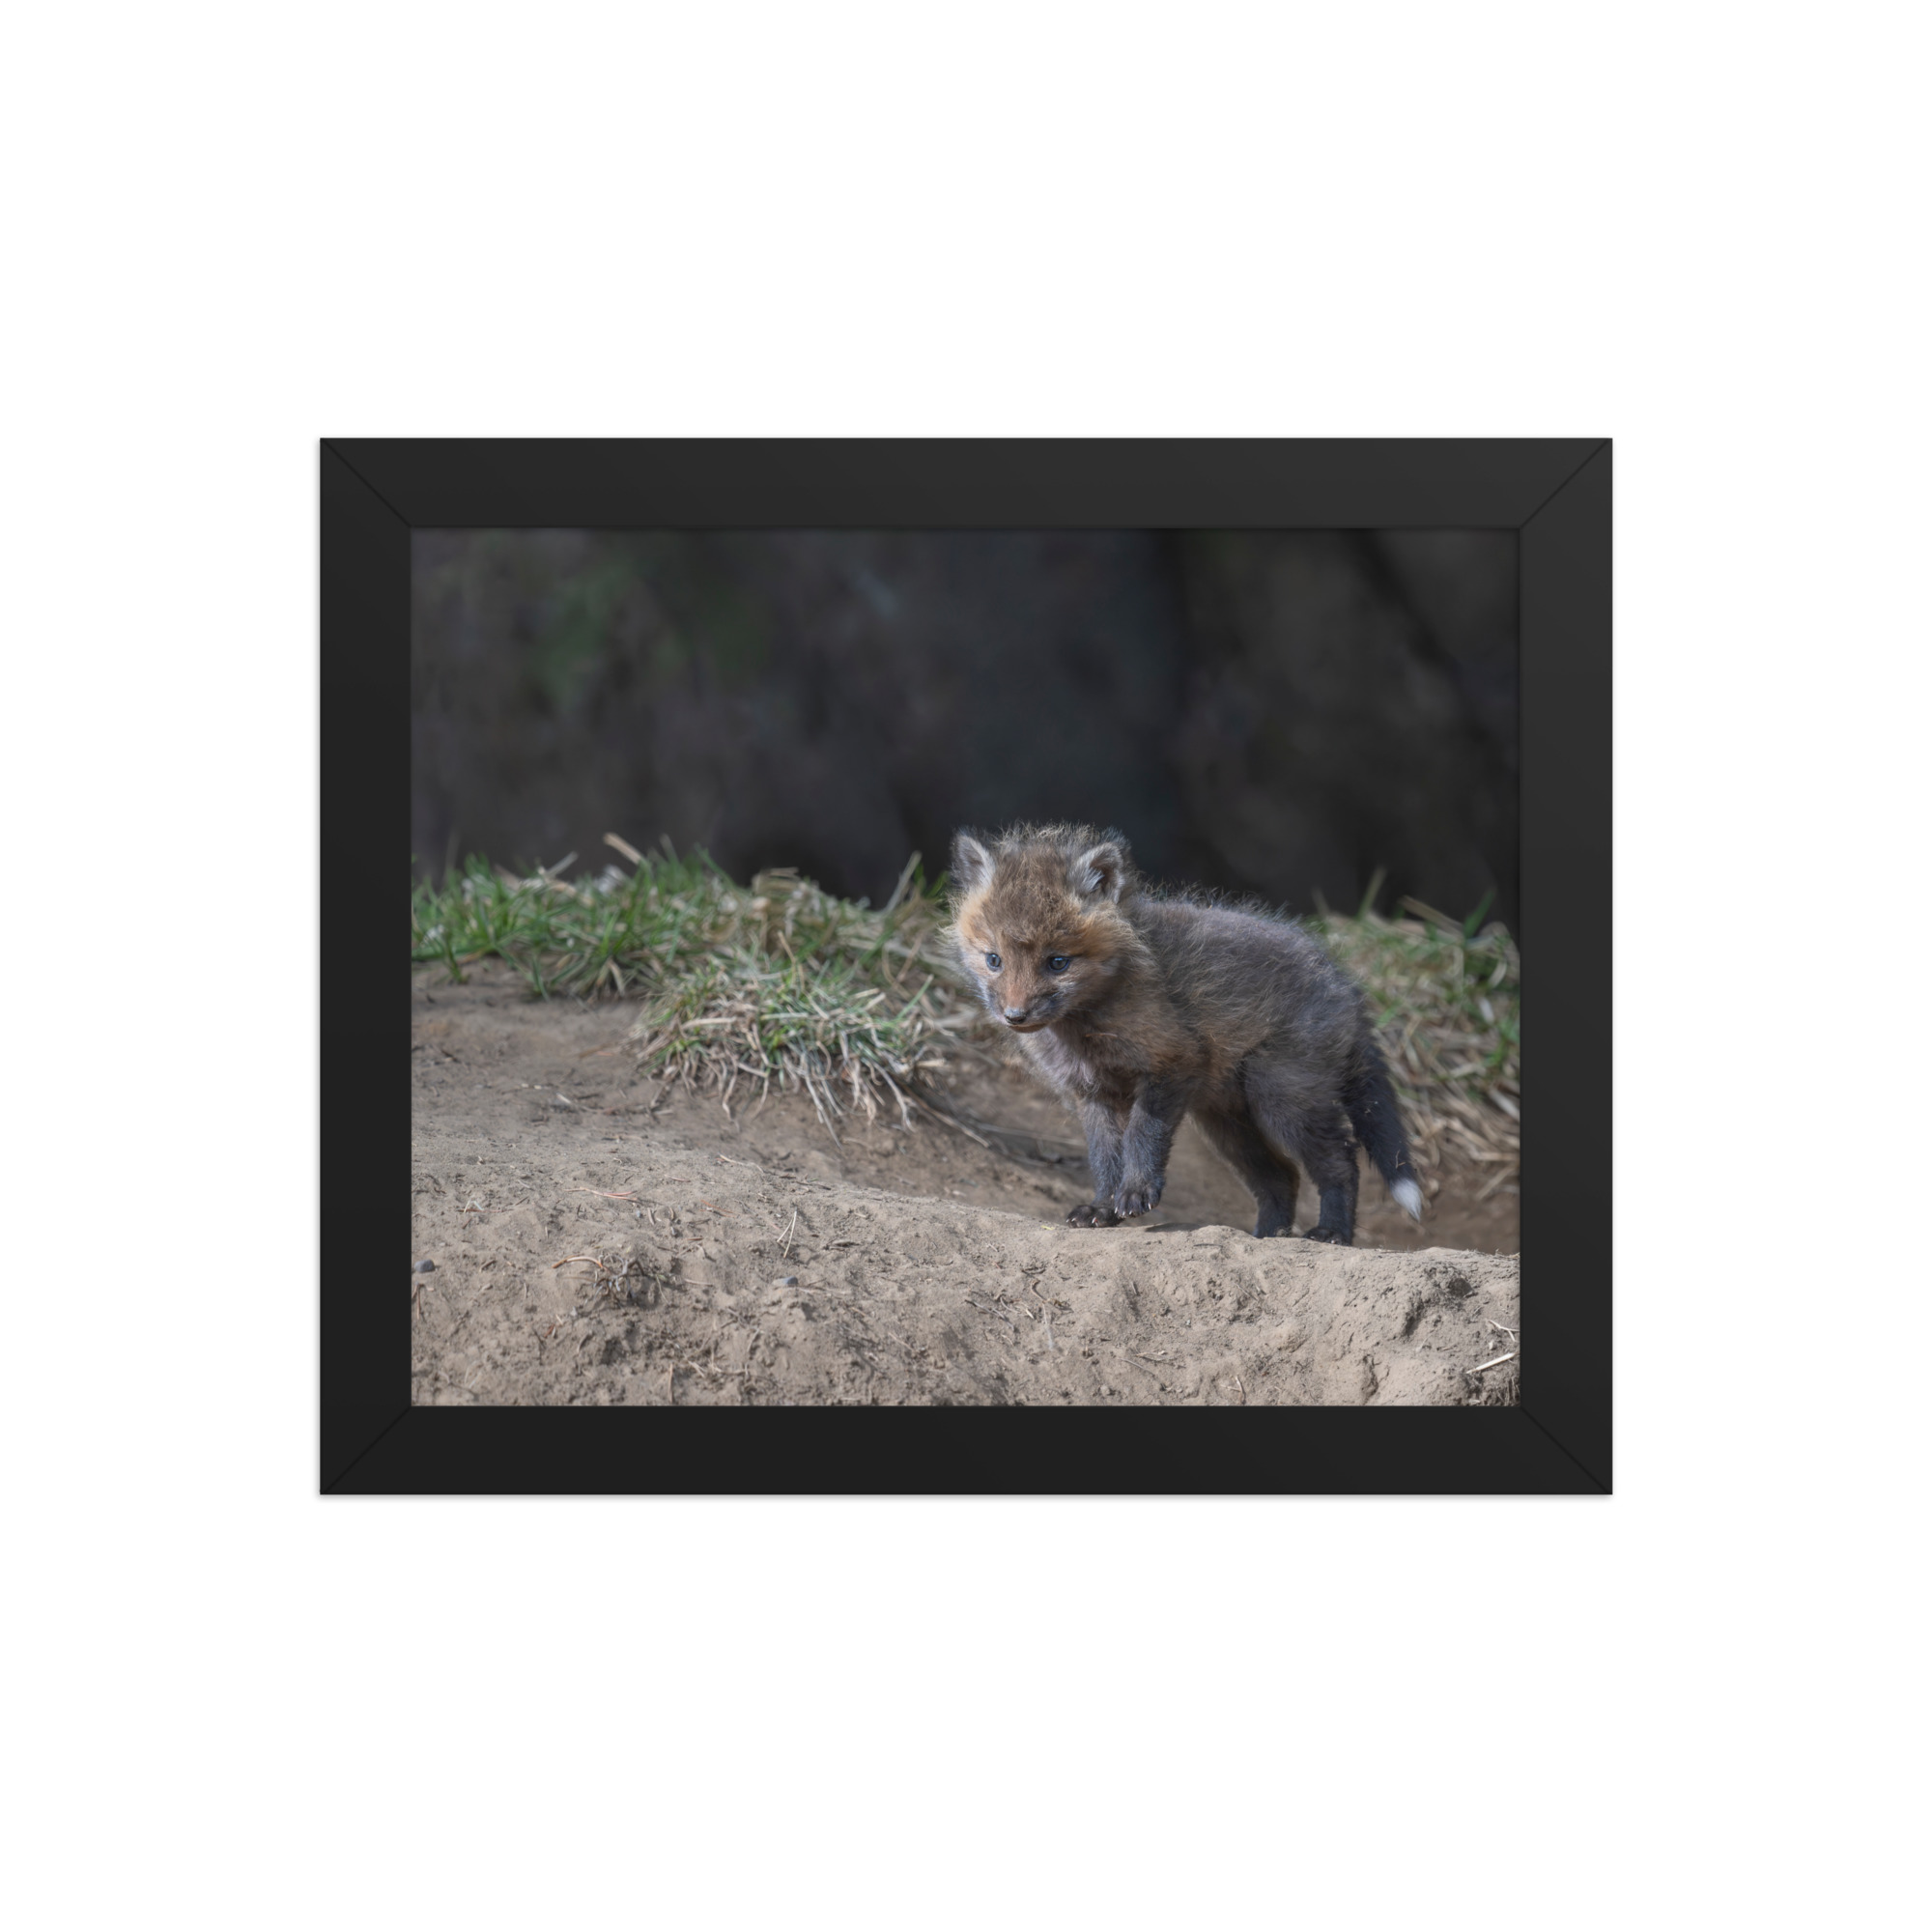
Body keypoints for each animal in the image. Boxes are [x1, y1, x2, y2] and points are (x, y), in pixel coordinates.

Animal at [947, 823, 1423, 1245]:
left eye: (1057, 962)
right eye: (994, 960)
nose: (1015, 1016)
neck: (1085, 1029)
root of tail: (1345, 984)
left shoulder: (1173, 1062)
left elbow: (1143, 1136)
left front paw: (1136, 1192)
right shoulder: (1092, 1093)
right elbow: (1104, 1158)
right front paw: (1102, 1208)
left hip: (1282, 1099)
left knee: (1341, 1160)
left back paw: (1332, 1233)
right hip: (1227, 1123)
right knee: (1282, 1177)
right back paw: (1267, 1236)